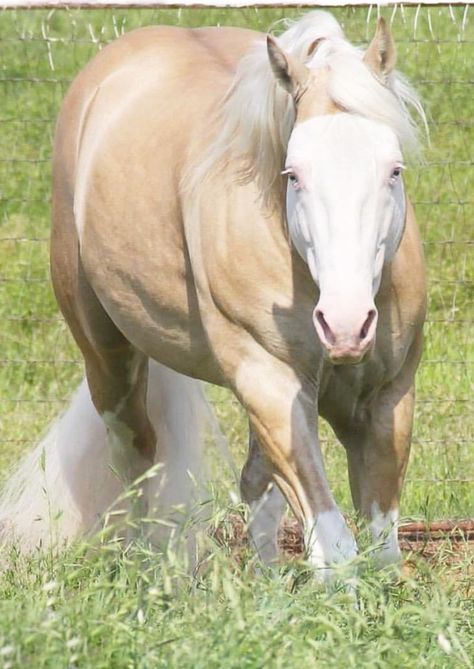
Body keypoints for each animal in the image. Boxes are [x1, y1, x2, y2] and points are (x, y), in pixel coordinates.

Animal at [0, 9, 426, 580]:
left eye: (393, 170)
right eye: (293, 174)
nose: (345, 324)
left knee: (255, 487)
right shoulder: (271, 384)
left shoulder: (383, 401)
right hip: (108, 356)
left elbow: (381, 548)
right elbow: (334, 546)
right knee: (135, 455)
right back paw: (147, 568)